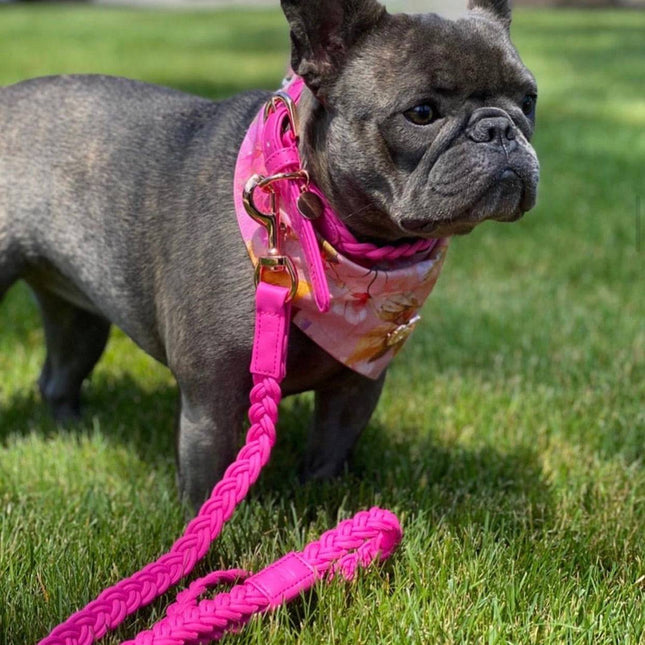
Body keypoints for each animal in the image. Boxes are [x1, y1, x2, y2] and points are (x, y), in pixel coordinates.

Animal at [0, 1, 540, 512]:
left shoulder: (357, 384)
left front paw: (323, 503)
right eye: (422, 113)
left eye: (529, 101)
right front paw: (209, 532)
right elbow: (211, 481)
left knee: (59, 375)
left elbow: (330, 449)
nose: (499, 129)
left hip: (80, 317)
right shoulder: (211, 400)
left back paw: (73, 432)